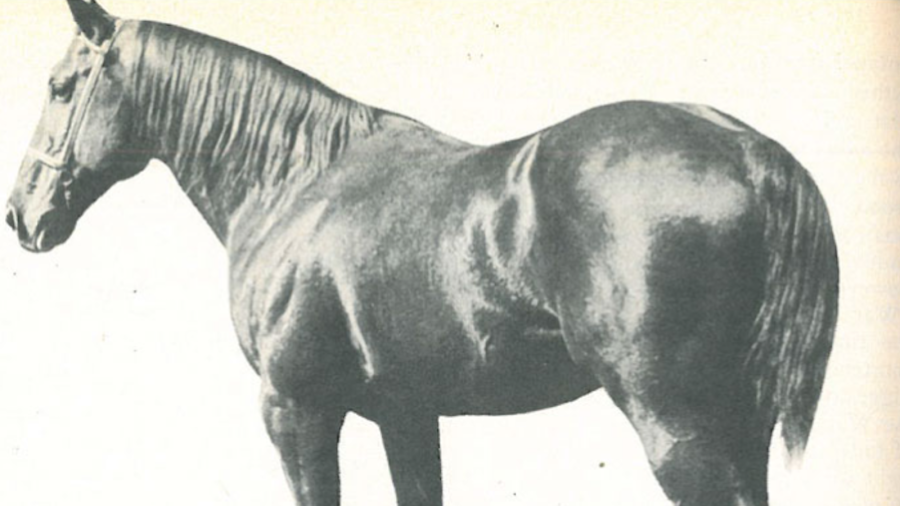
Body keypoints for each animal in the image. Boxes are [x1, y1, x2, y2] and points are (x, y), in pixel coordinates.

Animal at [5, 2, 839, 505]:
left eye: (60, 85)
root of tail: (748, 150)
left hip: (673, 420)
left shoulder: (296, 409)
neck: (297, 180)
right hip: (742, 423)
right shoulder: (405, 414)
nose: (21, 215)